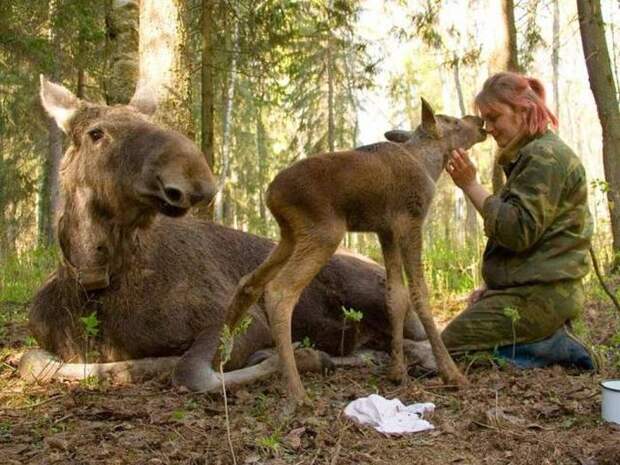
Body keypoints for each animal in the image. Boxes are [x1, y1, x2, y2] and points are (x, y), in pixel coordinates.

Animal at [20, 77, 426, 392]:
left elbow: (189, 370)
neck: (94, 287)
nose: (194, 178)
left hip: (367, 288)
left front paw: (299, 356)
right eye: (96, 133)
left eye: (154, 122)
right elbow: (35, 362)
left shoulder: (241, 320)